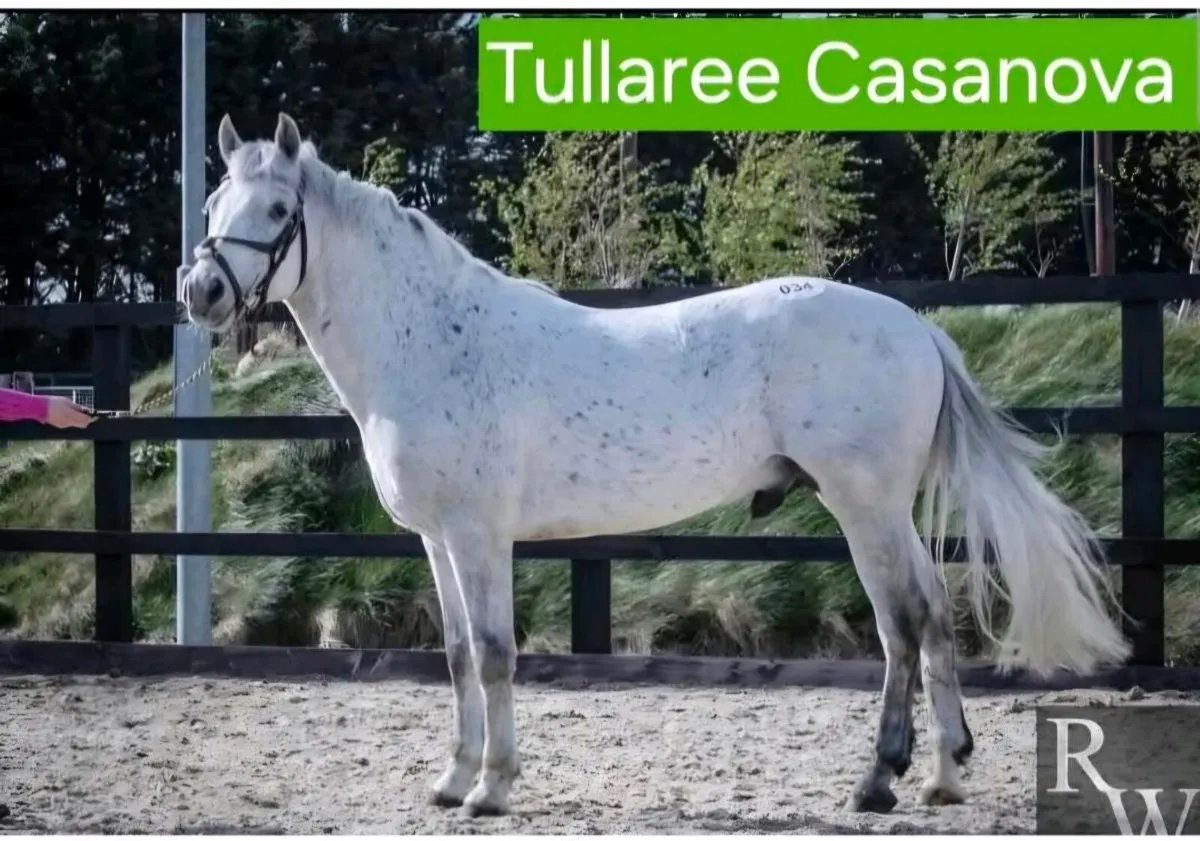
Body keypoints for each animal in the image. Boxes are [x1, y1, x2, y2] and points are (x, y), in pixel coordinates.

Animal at [181, 113, 1130, 818]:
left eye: (278, 210)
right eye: (212, 203)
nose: (202, 292)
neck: (432, 340)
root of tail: (918, 327)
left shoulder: (481, 536)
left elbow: (493, 653)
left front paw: (493, 788)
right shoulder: (437, 540)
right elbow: (453, 654)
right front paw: (452, 779)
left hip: (865, 508)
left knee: (902, 623)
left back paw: (879, 780)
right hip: (885, 512)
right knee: (931, 620)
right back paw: (940, 774)